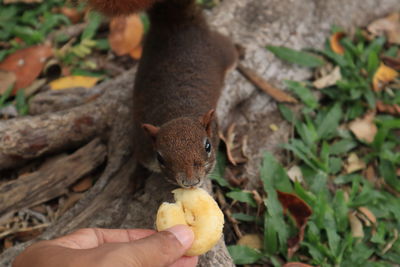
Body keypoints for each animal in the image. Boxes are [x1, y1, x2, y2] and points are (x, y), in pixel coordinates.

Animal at [90, 0, 238, 188]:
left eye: (208, 146)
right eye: (160, 157)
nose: (191, 182)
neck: (177, 112)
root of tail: (177, 22)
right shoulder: (143, 145)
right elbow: (139, 161)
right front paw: (136, 178)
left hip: (223, 52)